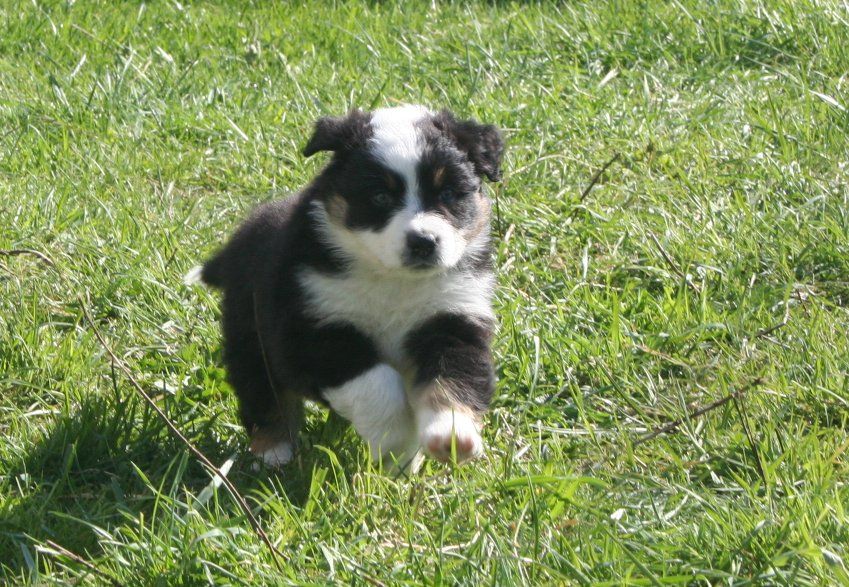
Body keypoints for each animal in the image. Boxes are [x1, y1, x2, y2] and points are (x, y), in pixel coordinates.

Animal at [186, 105, 503, 471]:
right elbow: (378, 384)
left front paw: (449, 436)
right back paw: (273, 454)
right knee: (263, 394)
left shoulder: (453, 318)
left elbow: (453, 375)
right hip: (249, 334)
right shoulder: (311, 330)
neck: (394, 281)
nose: (423, 242)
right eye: (380, 197)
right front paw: (396, 442)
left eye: (448, 194)